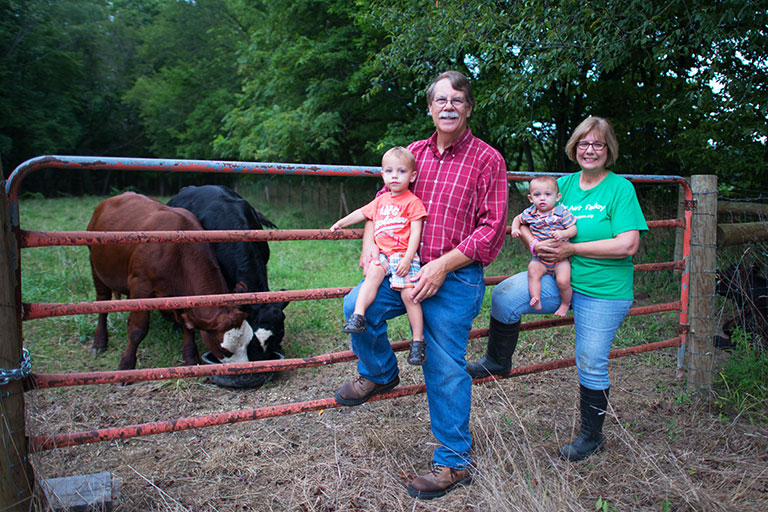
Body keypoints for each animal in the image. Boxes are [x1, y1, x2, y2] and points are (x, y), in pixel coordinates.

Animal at [89, 192, 252, 372]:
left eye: (248, 344)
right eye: (225, 350)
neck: (179, 253)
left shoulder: (182, 294)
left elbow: (187, 326)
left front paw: (190, 357)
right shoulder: (140, 285)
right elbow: (138, 329)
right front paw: (126, 364)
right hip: (96, 266)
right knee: (102, 301)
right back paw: (99, 341)